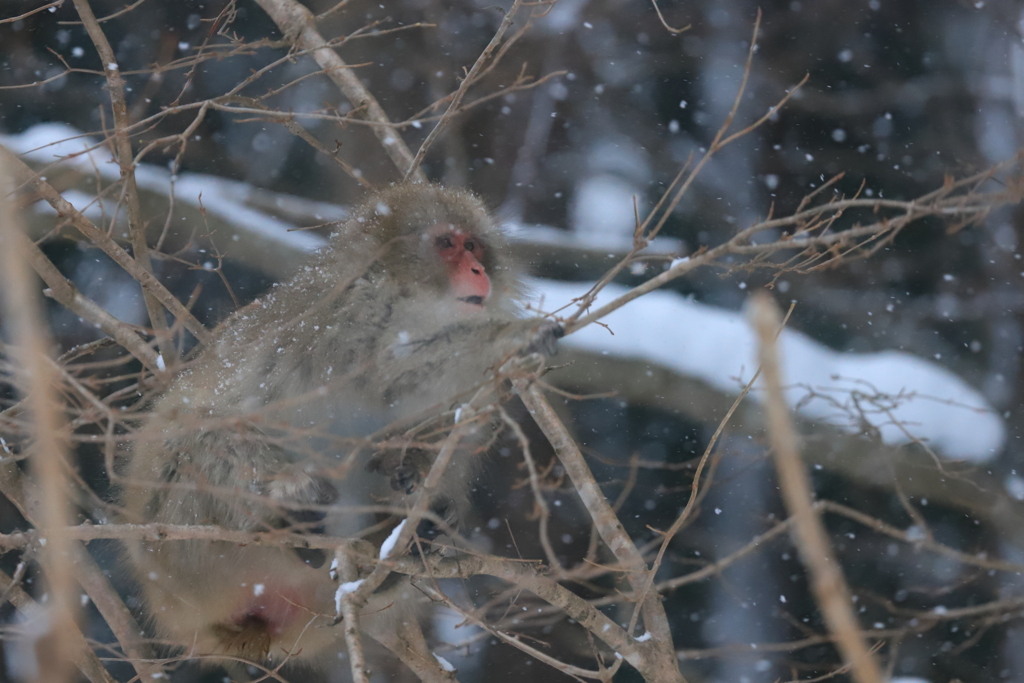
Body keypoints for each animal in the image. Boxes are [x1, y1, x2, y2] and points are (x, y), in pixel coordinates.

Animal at [119, 184, 561, 671]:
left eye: (475, 246)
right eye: (448, 243)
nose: (479, 270)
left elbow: (451, 424)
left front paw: (413, 460)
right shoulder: (350, 318)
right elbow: (391, 370)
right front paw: (516, 336)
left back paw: (402, 548)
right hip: (176, 548)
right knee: (198, 436)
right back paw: (294, 507)